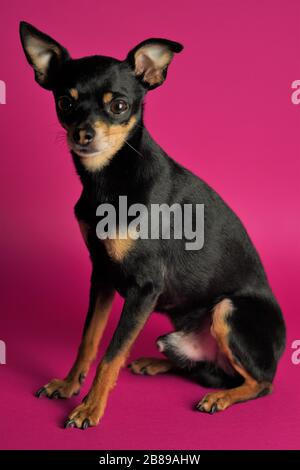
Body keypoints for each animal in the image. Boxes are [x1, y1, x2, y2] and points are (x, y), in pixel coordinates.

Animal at [19, 21, 286, 430]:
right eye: (65, 102)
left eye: (119, 106)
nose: (83, 134)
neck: (108, 179)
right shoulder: (102, 276)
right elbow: (89, 340)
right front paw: (68, 385)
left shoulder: (144, 288)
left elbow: (111, 354)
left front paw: (90, 408)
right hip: (177, 337)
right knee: (206, 369)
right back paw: (154, 363)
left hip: (228, 310)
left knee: (259, 383)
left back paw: (221, 398)